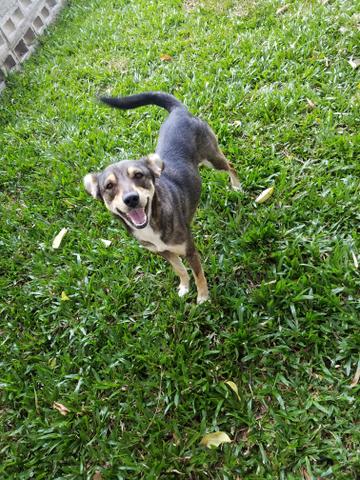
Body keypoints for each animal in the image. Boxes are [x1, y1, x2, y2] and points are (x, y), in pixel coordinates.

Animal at [84, 92, 240, 304]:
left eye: (139, 175)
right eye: (109, 186)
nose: (131, 199)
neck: (152, 222)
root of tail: (178, 110)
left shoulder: (190, 250)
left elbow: (199, 275)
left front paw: (202, 297)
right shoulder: (163, 252)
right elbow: (179, 269)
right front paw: (184, 287)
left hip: (212, 158)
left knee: (230, 165)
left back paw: (237, 186)